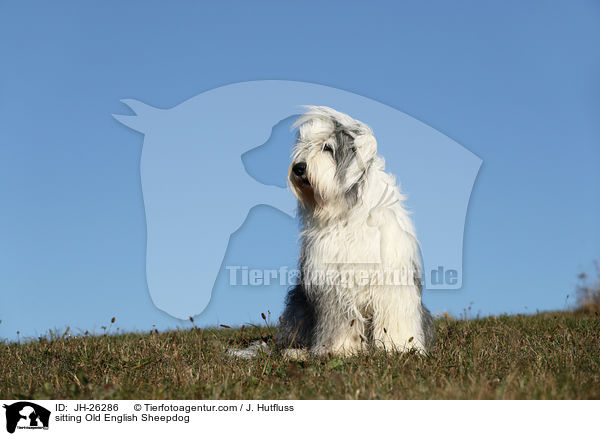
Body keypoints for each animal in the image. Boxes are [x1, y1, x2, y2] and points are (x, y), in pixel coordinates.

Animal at [276, 107, 436, 356]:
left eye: (327, 147)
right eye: (304, 147)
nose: (298, 168)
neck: (347, 212)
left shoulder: (393, 277)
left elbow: (394, 315)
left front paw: (400, 346)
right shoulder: (333, 282)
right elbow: (341, 321)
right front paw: (339, 350)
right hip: (298, 307)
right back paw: (296, 352)